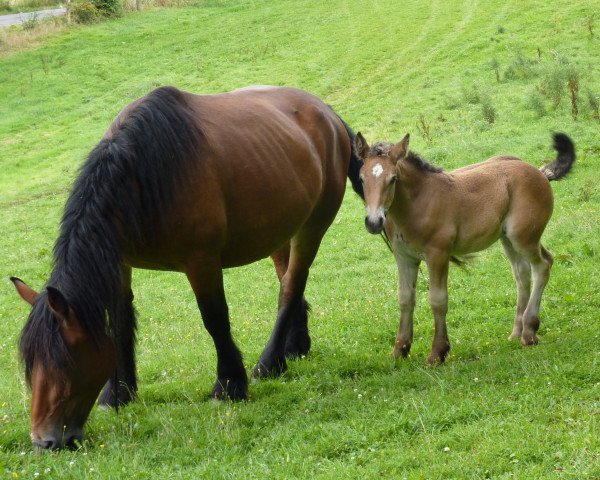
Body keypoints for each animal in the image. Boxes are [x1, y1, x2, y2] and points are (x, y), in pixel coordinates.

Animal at [11, 84, 364, 448]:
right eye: (32, 363)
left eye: (64, 361)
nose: (43, 440)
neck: (146, 172)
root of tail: (326, 112)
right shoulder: (120, 262)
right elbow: (121, 324)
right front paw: (119, 394)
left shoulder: (201, 261)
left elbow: (215, 319)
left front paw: (229, 385)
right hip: (282, 229)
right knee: (289, 281)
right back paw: (293, 348)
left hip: (312, 226)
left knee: (292, 284)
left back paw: (268, 363)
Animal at [354, 131, 576, 364]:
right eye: (361, 179)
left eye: (393, 179)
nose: (374, 222)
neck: (416, 203)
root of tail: (539, 172)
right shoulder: (404, 257)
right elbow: (405, 299)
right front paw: (400, 349)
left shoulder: (438, 254)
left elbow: (438, 300)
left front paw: (438, 352)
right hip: (508, 239)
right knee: (522, 274)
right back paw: (517, 331)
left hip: (523, 237)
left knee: (543, 265)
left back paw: (529, 331)